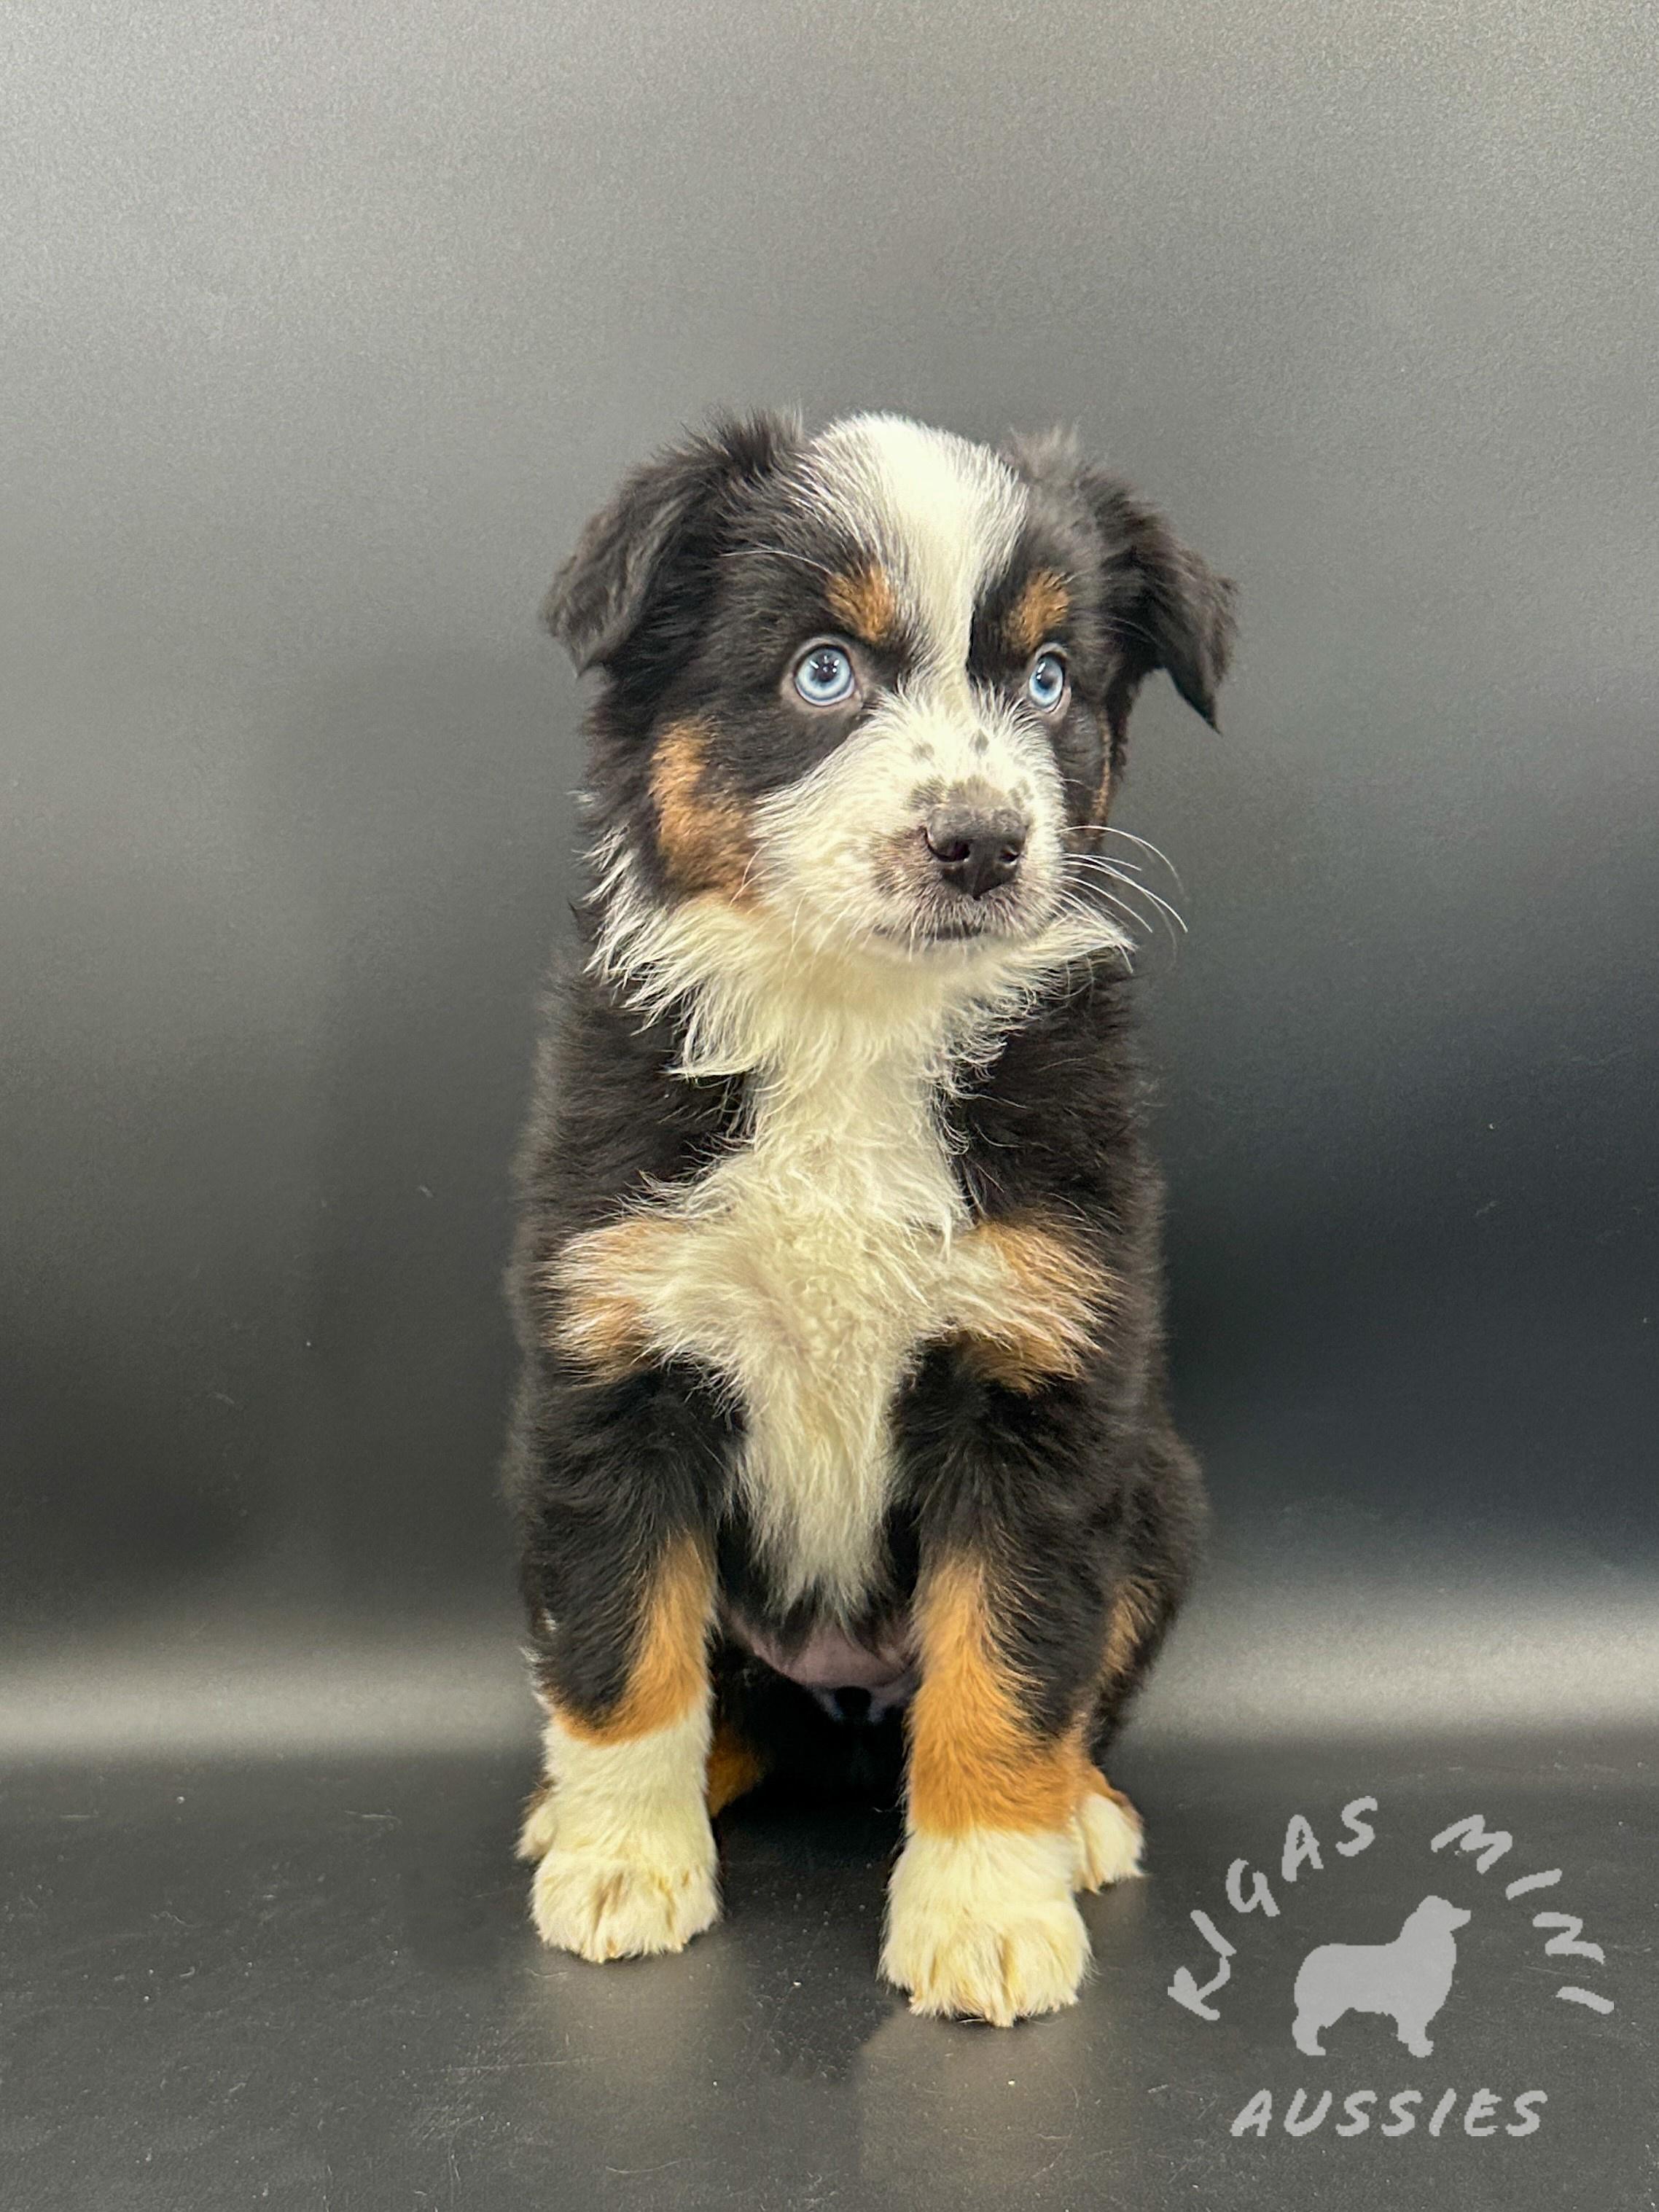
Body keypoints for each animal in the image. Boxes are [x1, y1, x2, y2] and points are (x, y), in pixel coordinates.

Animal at [504, 411, 1235, 2024]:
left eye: (1048, 680)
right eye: (823, 671)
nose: (979, 841)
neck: (850, 1024)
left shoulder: (1036, 1386)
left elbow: (1008, 1670)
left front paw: (985, 1910)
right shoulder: (618, 1365)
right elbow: (623, 1643)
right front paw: (621, 1862)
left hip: (1158, 1488)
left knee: (1064, 1687)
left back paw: (1081, 1818)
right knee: (713, 1696)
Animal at [1292, 1895, 1473, 2057]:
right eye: (1449, 1910)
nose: (1469, 1912)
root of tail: (1311, 1958)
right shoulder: (1413, 2005)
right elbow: (1415, 2029)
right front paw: (1419, 2049)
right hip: (1325, 2003)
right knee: (1302, 2026)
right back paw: (1312, 2050)